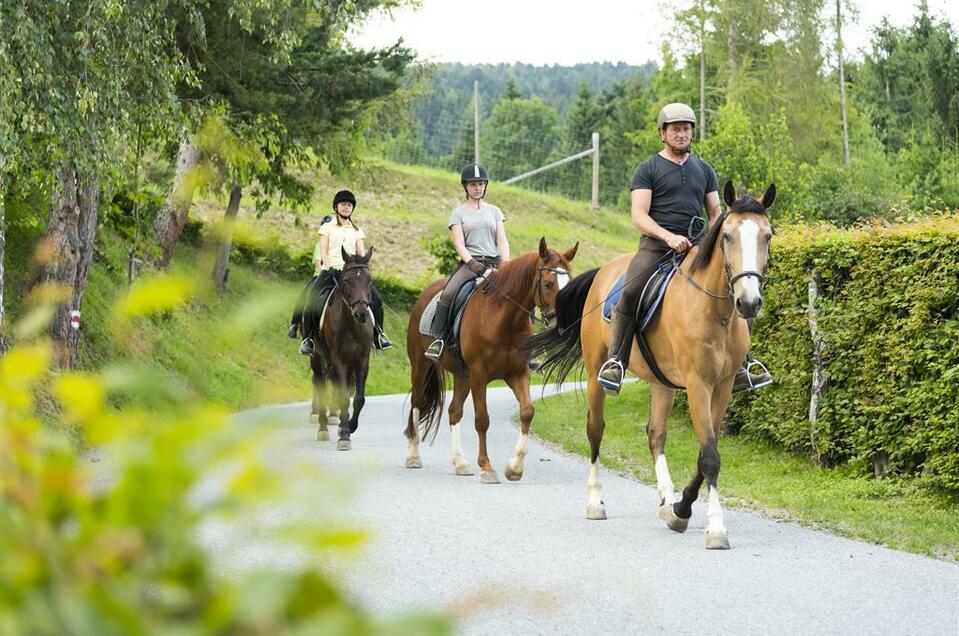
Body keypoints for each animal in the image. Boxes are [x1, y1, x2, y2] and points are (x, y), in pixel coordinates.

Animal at [308, 246, 376, 450]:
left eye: (369, 280)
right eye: (347, 280)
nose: (361, 313)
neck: (352, 325)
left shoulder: (362, 361)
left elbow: (359, 398)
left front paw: (350, 426)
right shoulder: (338, 359)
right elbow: (344, 397)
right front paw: (345, 435)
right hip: (317, 357)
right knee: (320, 383)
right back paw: (323, 427)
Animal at [404, 237, 576, 482]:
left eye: (569, 282)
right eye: (548, 284)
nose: (563, 325)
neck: (503, 318)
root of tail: (426, 294)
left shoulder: (517, 373)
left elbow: (527, 412)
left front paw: (514, 468)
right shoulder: (479, 375)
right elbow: (482, 420)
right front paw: (487, 468)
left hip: (463, 376)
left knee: (454, 412)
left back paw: (460, 463)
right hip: (421, 366)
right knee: (417, 403)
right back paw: (413, 457)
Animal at [528, 183, 776, 548]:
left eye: (767, 236)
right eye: (728, 236)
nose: (749, 303)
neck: (714, 313)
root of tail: (604, 271)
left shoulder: (724, 386)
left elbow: (707, 451)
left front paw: (680, 509)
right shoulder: (698, 384)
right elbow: (710, 455)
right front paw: (715, 528)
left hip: (662, 382)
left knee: (655, 434)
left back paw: (666, 499)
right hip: (595, 372)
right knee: (595, 429)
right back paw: (595, 501)